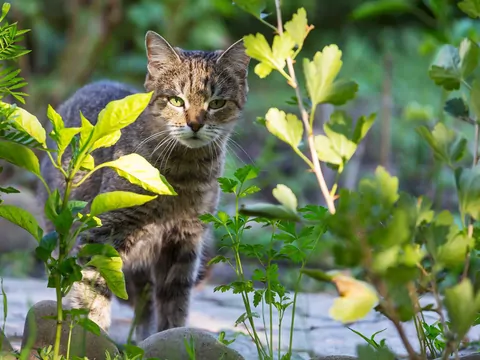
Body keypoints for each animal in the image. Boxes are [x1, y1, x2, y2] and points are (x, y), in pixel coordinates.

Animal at [39, 31, 249, 340]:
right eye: (176, 100)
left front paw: (169, 335)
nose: (195, 124)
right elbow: (92, 291)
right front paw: (91, 334)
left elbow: (174, 301)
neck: (181, 177)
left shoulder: (184, 241)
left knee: (144, 300)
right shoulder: (104, 234)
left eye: (216, 103)